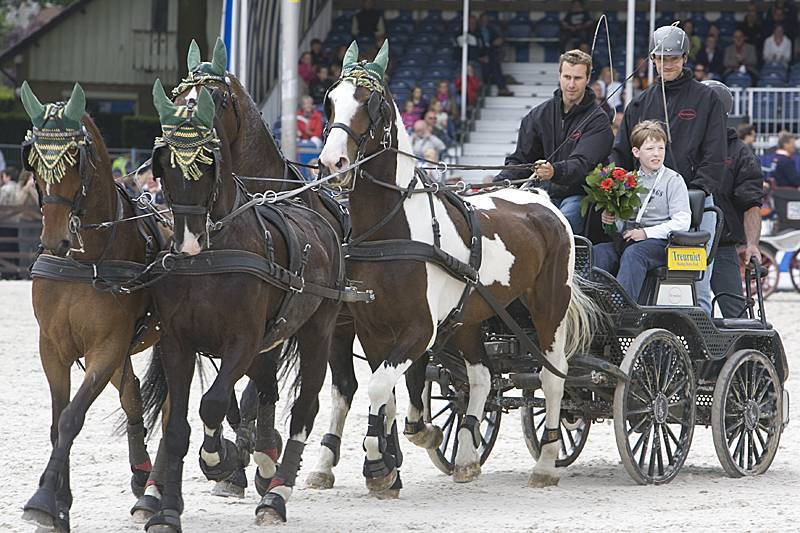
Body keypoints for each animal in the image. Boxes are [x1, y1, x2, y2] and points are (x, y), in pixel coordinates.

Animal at [18, 82, 169, 532]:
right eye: (34, 160)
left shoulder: (106, 346)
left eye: (75, 159)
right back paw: (140, 473)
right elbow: (57, 422)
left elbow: (72, 417)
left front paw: (44, 501)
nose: (54, 240)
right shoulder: (53, 348)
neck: (84, 261)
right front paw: (60, 503)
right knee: (132, 394)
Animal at [141, 79, 358, 531]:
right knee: (267, 393)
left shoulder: (242, 341)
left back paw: (276, 494)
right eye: (165, 166)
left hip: (320, 332)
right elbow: (178, 424)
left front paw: (218, 461)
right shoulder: (177, 344)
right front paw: (166, 509)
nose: (188, 241)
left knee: (306, 407)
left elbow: (214, 404)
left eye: (207, 163)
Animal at [318, 40, 603, 492]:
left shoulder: (420, 329)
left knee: (552, 378)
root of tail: (539, 198)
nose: (332, 164)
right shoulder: (371, 327)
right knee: (482, 377)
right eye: (330, 101)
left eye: (370, 102)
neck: (392, 230)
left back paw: (545, 463)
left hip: (549, 308)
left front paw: (381, 462)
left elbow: (382, 388)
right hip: (470, 317)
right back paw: (468, 456)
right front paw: (389, 460)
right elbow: (387, 393)